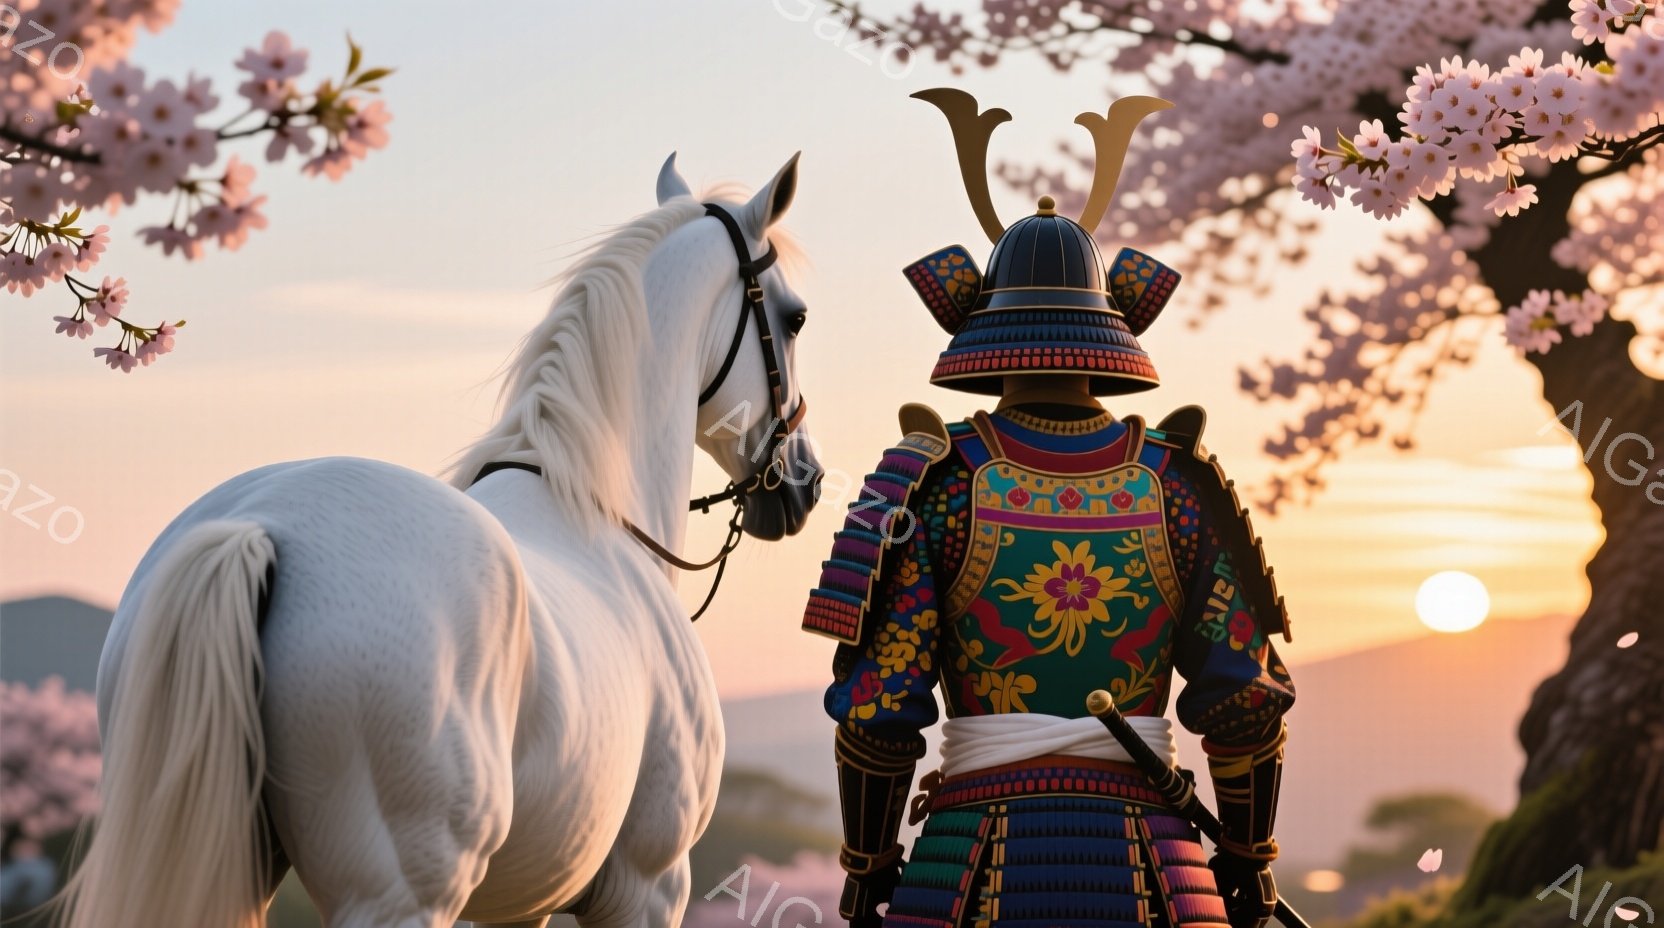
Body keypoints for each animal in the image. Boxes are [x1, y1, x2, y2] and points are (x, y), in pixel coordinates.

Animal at [57, 153, 823, 928]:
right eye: (795, 317)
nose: (807, 482)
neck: (596, 514)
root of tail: (261, 526)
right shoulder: (648, 885)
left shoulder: (519, 903)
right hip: (406, 891)